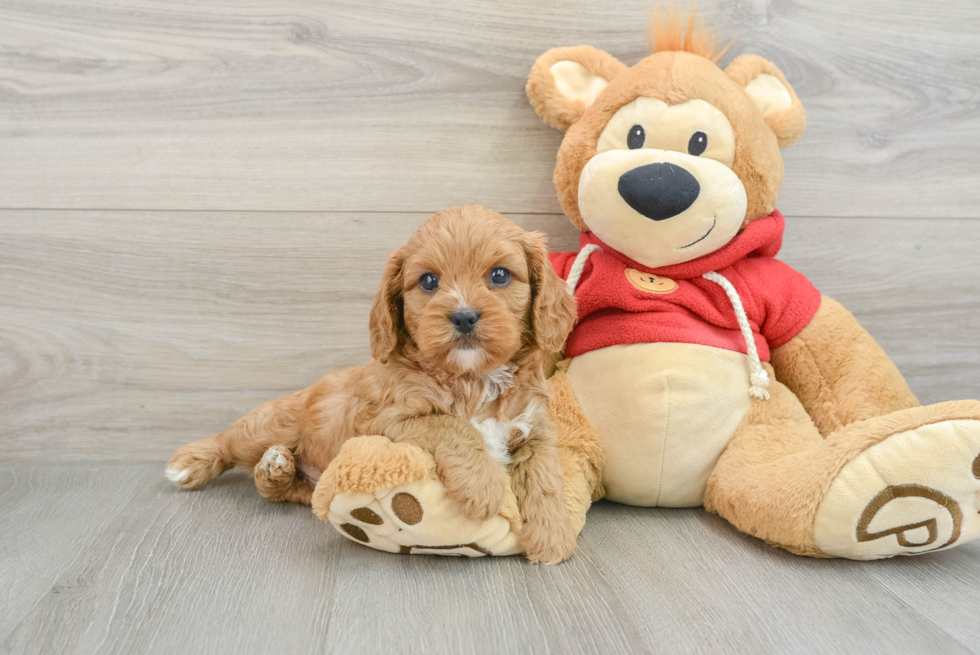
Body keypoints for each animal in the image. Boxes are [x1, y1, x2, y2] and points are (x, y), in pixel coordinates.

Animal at [167, 204, 580, 564]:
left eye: (499, 275)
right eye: (428, 281)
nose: (464, 317)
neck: (473, 378)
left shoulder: (536, 428)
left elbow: (545, 478)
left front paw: (552, 537)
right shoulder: (384, 418)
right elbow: (452, 425)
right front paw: (484, 486)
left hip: (307, 483)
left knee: (281, 492)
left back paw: (276, 471)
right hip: (269, 425)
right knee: (229, 442)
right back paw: (191, 463)